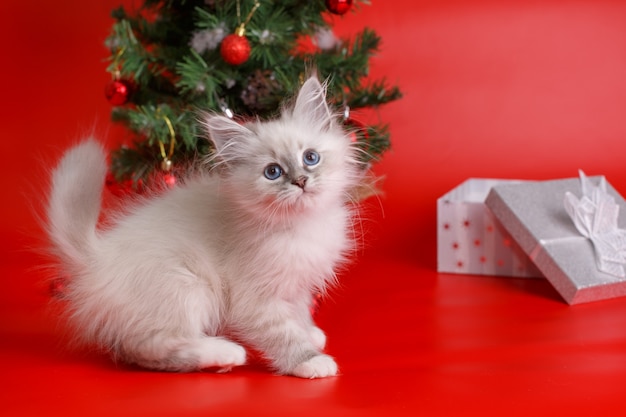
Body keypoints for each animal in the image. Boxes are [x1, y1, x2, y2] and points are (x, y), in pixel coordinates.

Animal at [46, 75, 360, 376]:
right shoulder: (255, 299)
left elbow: (299, 312)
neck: (302, 223)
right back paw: (225, 353)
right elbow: (283, 334)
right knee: (149, 346)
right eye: (273, 172)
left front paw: (310, 332)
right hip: (187, 286)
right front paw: (309, 359)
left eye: (310, 157)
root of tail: (98, 258)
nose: (301, 181)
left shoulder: (297, 283)